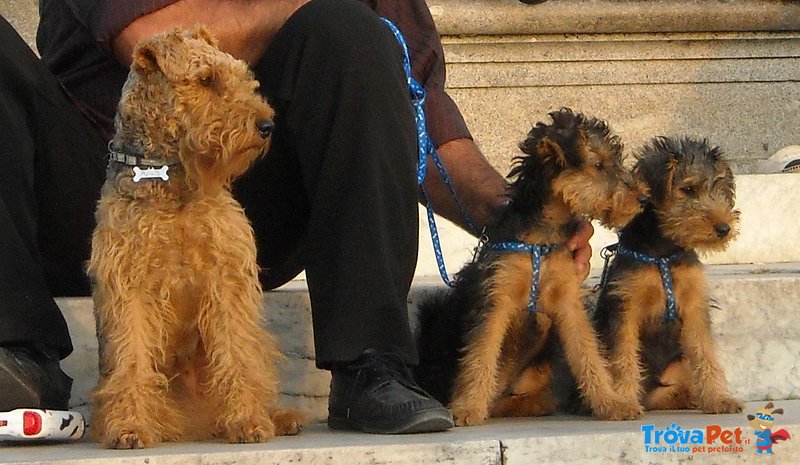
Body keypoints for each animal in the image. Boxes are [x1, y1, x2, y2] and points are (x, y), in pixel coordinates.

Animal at [416, 108, 648, 424]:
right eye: (599, 165)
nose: (643, 198)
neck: (543, 237)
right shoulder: (496, 300)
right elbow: (480, 355)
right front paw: (467, 409)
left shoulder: (568, 303)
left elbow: (589, 354)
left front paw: (611, 402)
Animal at [592, 135, 744, 414]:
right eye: (688, 189)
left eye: (719, 187)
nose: (724, 229)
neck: (664, 251)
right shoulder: (625, 306)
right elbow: (623, 358)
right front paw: (625, 401)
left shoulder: (695, 307)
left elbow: (706, 354)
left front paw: (718, 399)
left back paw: (691, 397)